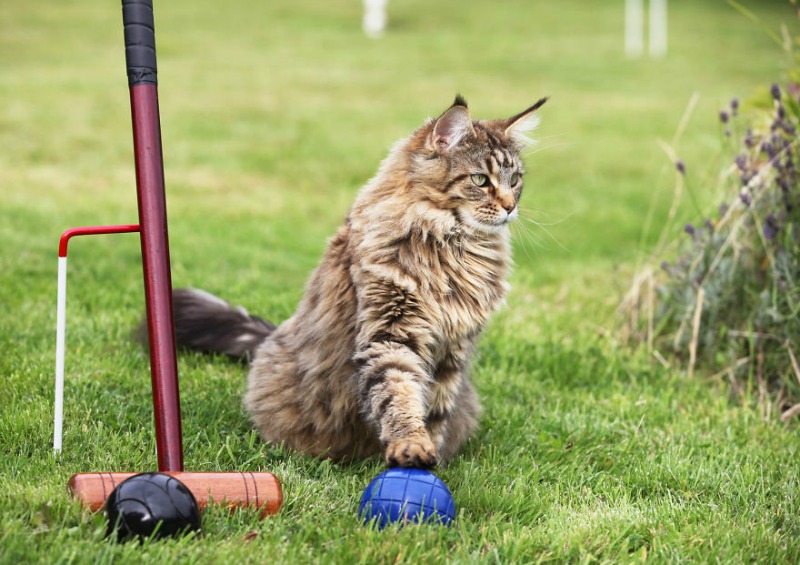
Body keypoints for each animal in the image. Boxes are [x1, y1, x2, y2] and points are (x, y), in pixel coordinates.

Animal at [173, 96, 552, 468]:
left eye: (515, 180)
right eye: (480, 179)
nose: (511, 207)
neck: (453, 245)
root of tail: (269, 336)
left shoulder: (453, 350)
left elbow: (434, 409)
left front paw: (432, 459)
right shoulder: (390, 330)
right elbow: (399, 393)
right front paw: (412, 446)